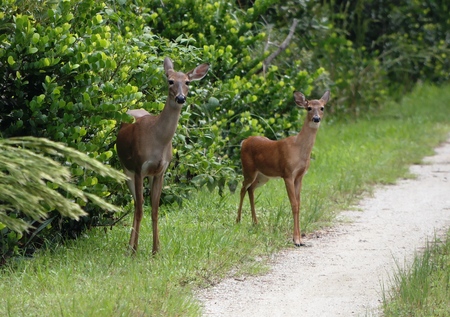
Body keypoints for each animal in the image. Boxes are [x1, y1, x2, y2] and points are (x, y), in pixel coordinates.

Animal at [115, 57, 208, 254]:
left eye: (187, 82)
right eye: (170, 81)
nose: (180, 98)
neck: (157, 140)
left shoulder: (160, 171)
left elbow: (155, 209)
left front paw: (156, 250)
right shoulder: (139, 168)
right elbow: (141, 209)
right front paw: (134, 250)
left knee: (139, 204)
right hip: (126, 169)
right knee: (136, 204)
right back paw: (130, 247)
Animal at [237, 90, 328, 246]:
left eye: (322, 108)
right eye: (309, 108)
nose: (316, 118)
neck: (299, 149)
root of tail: (244, 141)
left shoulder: (300, 176)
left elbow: (299, 203)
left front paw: (300, 239)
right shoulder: (287, 173)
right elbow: (294, 204)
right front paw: (296, 239)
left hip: (263, 176)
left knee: (250, 189)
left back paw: (255, 222)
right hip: (248, 169)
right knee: (243, 188)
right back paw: (238, 220)